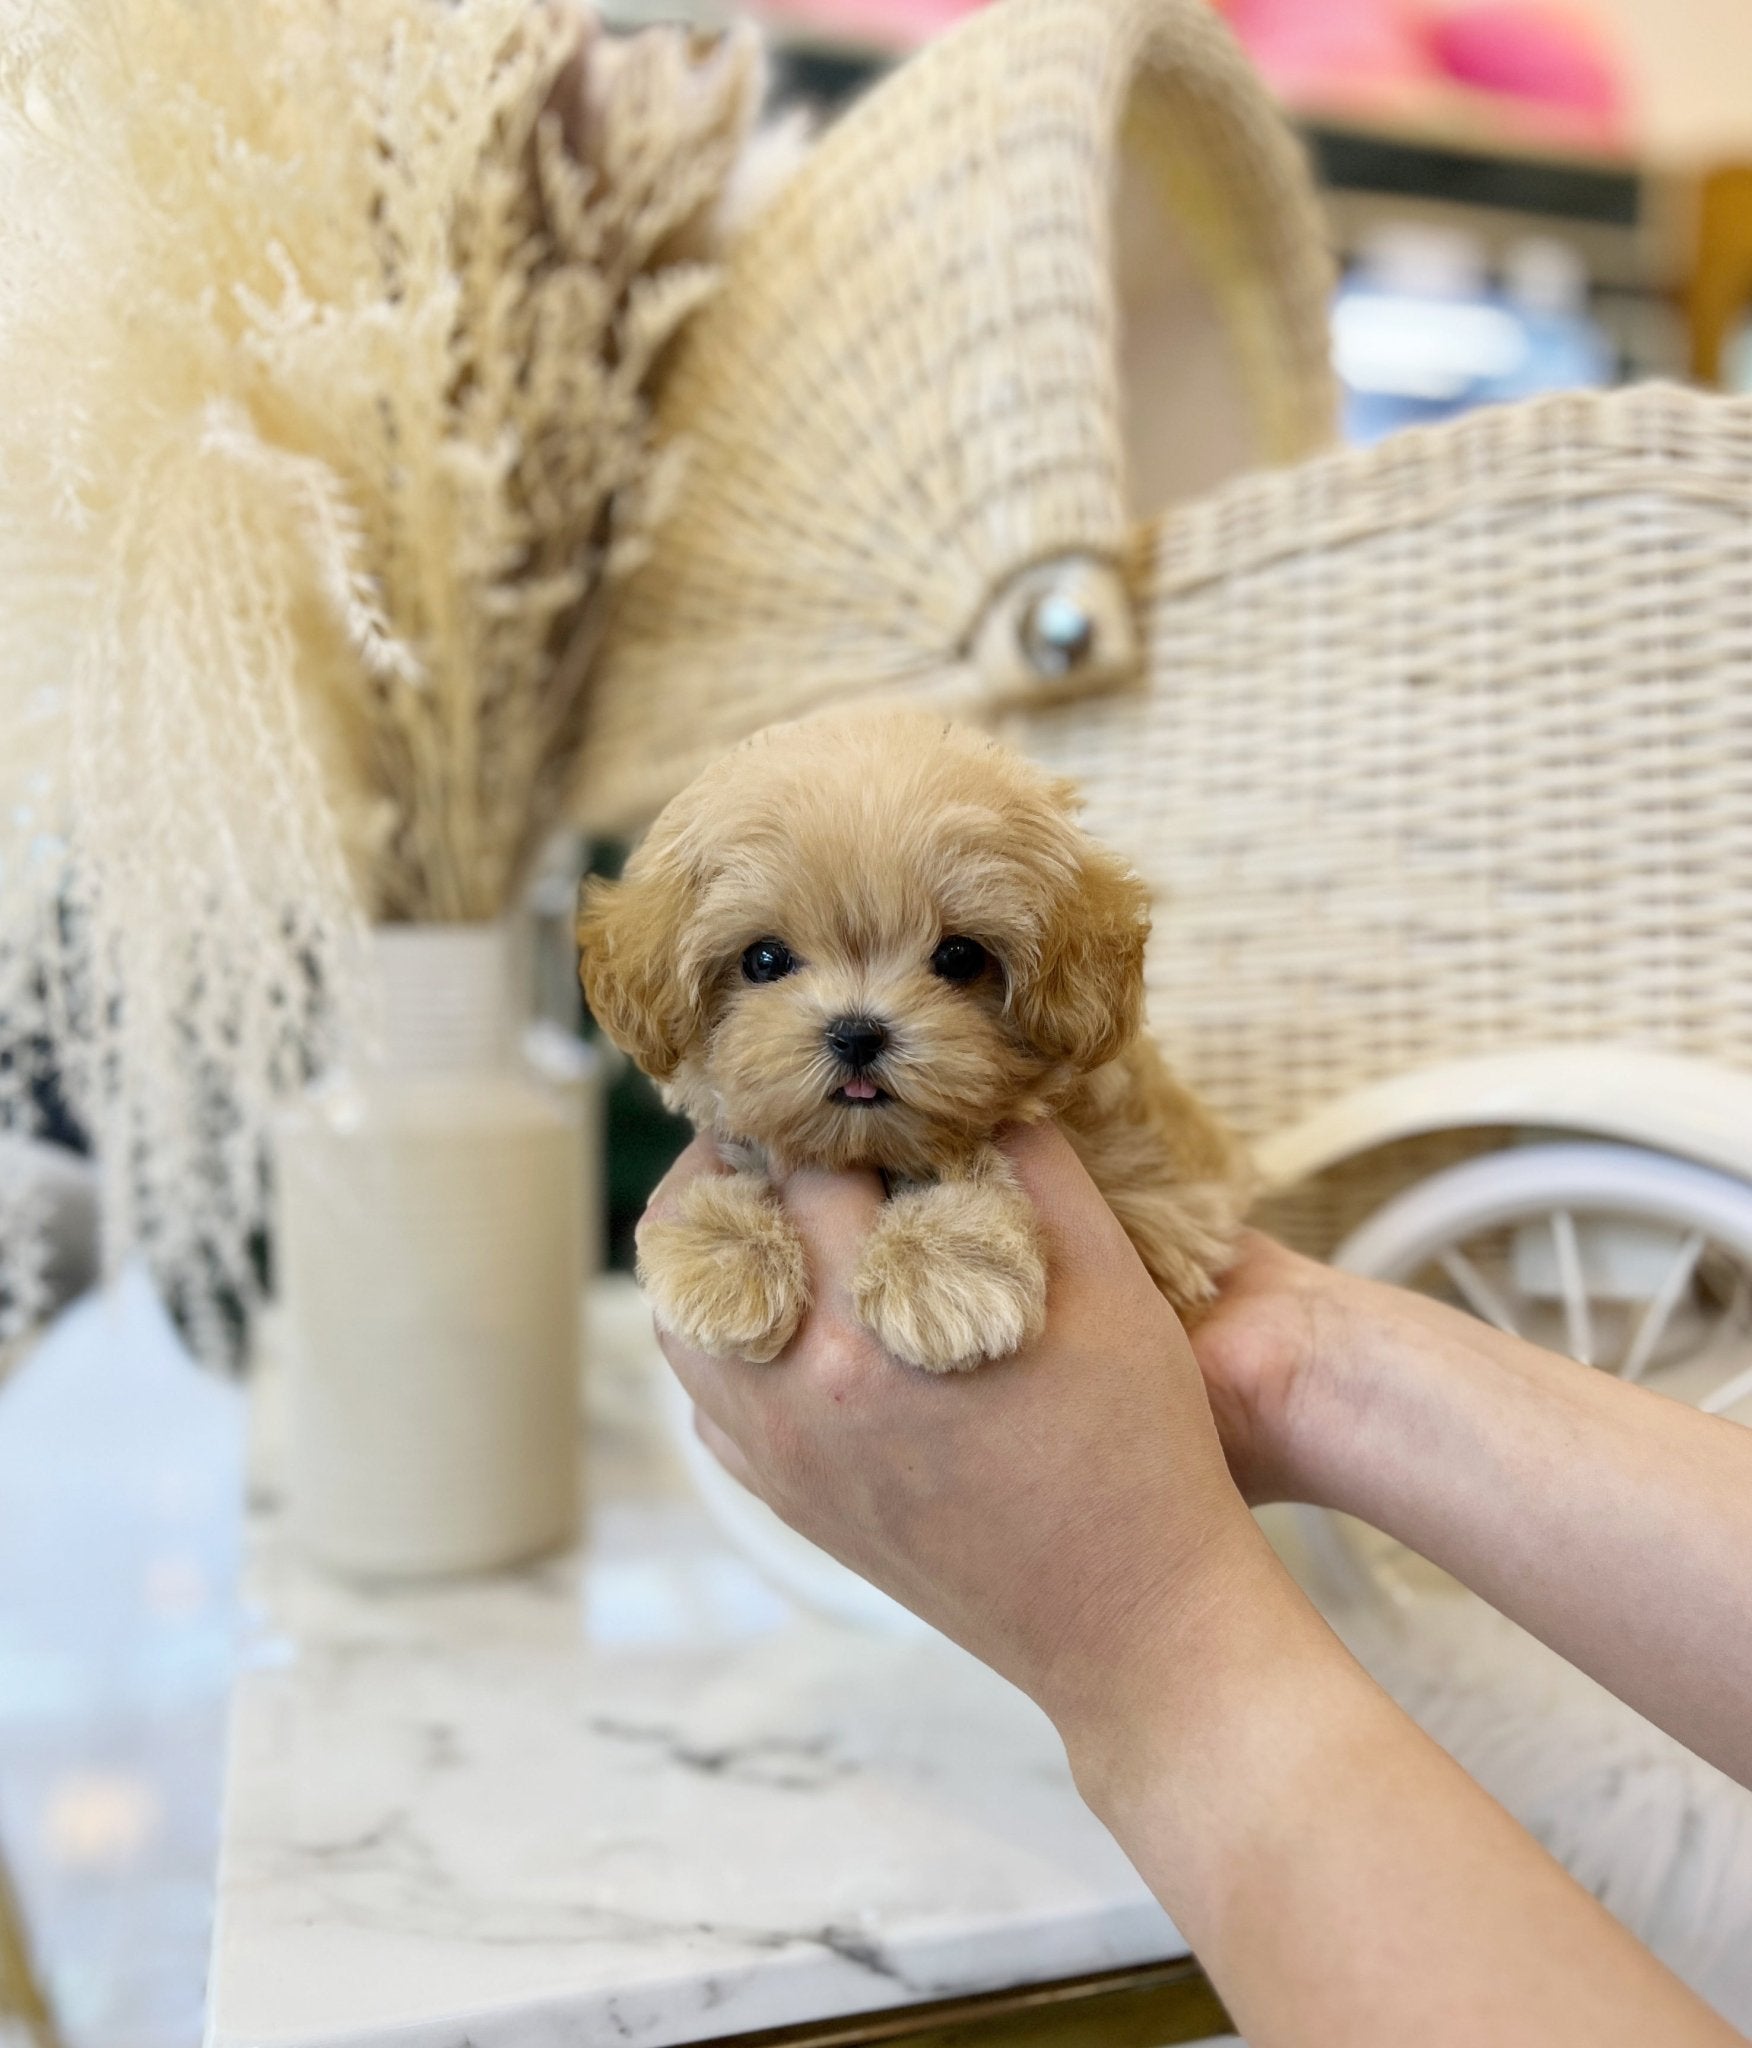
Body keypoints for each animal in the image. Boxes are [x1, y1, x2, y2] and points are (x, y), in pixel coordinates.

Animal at [581, 708, 1254, 1376]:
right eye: (764, 960)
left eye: (960, 957)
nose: (856, 1034)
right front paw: (726, 1252)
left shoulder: (1164, 1217)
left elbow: (982, 1160)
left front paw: (942, 1266)